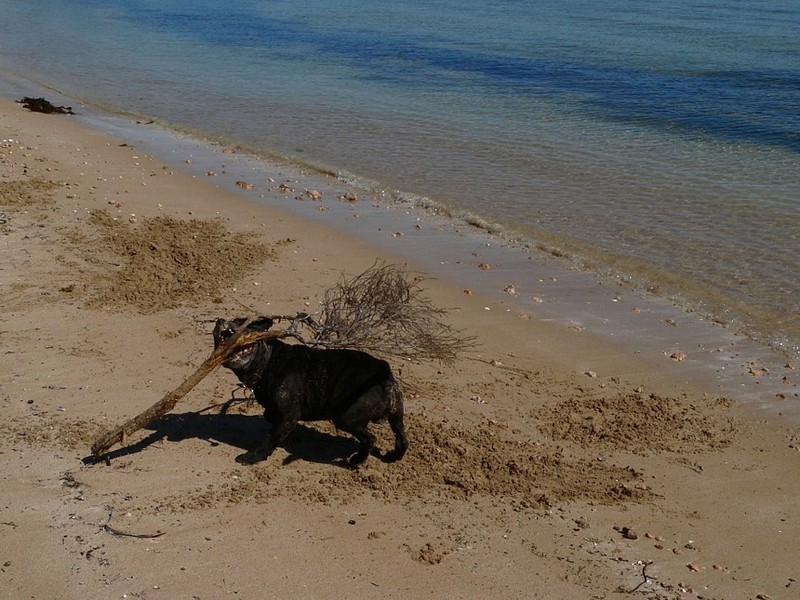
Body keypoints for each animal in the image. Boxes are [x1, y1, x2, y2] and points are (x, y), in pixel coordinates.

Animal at [212, 316, 406, 466]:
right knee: (402, 438)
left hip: (346, 418)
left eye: (241, 322)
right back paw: (392, 457)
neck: (267, 360)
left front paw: (253, 457)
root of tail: (383, 372)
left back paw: (357, 460)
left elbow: (271, 438)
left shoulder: (288, 416)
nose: (219, 320)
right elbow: (269, 416)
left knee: (369, 439)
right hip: (395, 416)